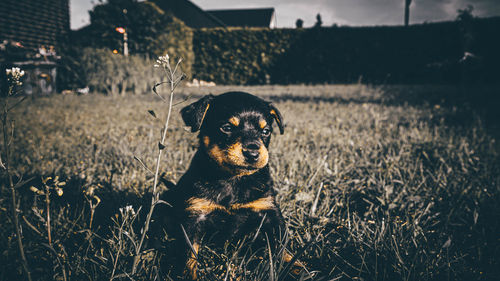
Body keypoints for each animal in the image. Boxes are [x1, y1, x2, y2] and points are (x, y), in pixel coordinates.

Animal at [156, 91, 292, 278]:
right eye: (226, 128)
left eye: (266, 131)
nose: (252, 153)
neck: (233, 179)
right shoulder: (195, 215)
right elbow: (188, 256)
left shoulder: (269, 210)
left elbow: (283, 249)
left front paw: (297, 268)